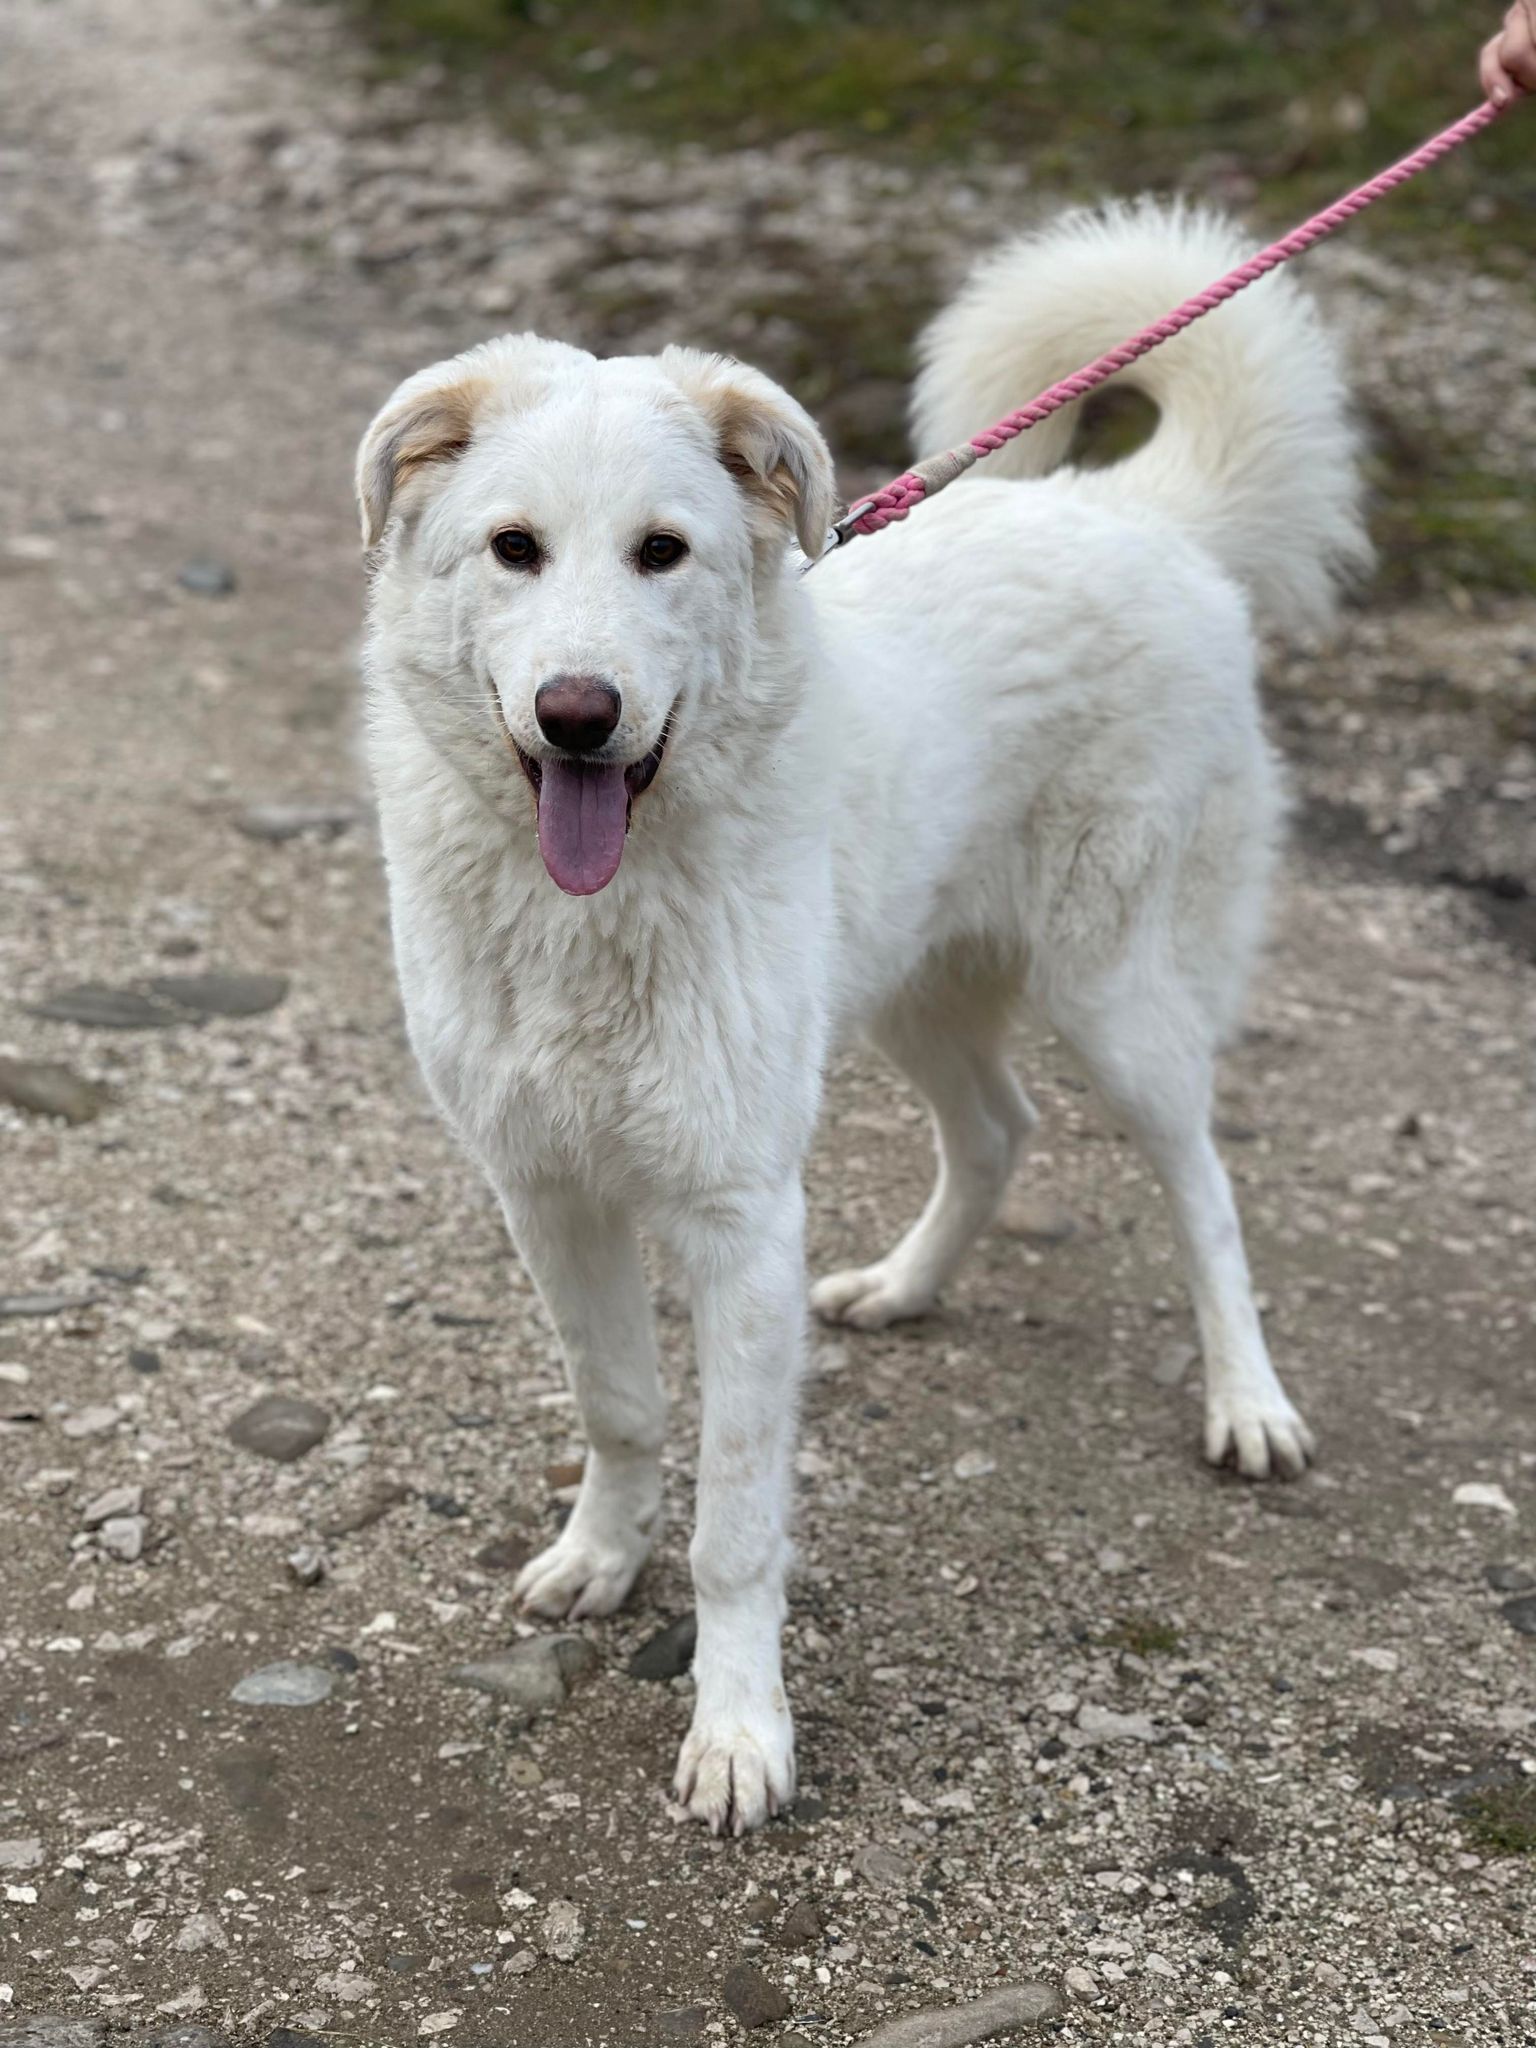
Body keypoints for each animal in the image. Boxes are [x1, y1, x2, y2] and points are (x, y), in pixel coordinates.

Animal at [360, 203, 1368, 1843]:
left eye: (663, 551)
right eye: (514, 549)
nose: (579, 713)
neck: (595, 909)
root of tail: (1134, 514)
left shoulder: (740, 1220)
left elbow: (736, 1526)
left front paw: (737, 1730)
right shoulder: (548, 1189)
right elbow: (620, 1405)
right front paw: (603, 1556)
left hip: (1117, 1000)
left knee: (1206, 1189)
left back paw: (1248, 1402)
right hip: (913, 989)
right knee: (1001, 1129)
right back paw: (903, 1286)